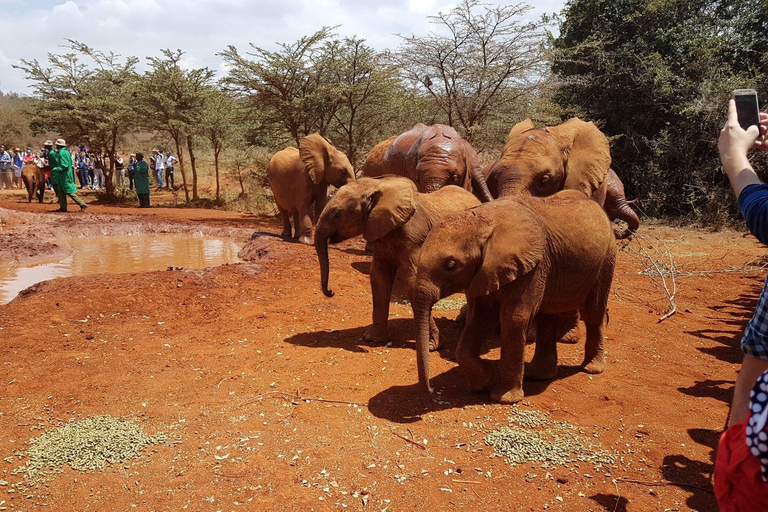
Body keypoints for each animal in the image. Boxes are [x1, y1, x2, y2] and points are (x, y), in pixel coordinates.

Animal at [312, 176, 480, 348]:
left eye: (336, 214)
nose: (331, 292)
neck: (378, 185)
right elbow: (378, 277)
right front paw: (373, 339)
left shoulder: (415, 239)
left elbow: (413, 281)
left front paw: (431, 346)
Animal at [414, 189, 616, 404]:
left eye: (451, 265)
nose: (431, 390)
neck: (485, 221)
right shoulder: (484, 271)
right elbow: (480, 317)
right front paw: (485, 382)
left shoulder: (532, 266)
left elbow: (514, 319)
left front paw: (504, 398)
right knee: (547, 318)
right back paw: (537, 375)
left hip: (606, 259)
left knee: (593, 313)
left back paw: (591, 369)